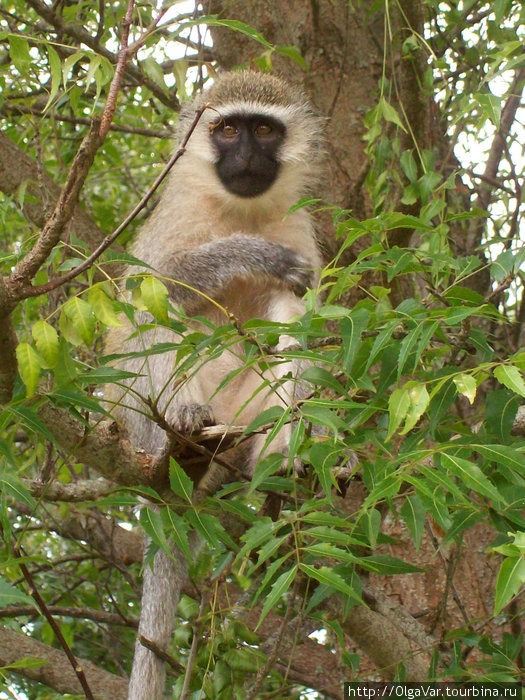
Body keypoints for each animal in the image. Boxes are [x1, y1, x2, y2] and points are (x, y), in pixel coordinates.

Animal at [105, 71, 324, 700]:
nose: (246, 154)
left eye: (263, 130)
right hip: (141, 424)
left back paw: (280, 458)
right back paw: (183, 435)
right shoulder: (174, 220)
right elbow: (151, 288)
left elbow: (298, 324)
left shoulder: (299, 222)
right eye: (227, 130)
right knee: (153, 318)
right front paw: (255, 256)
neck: (239, 211)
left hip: (245, 416)